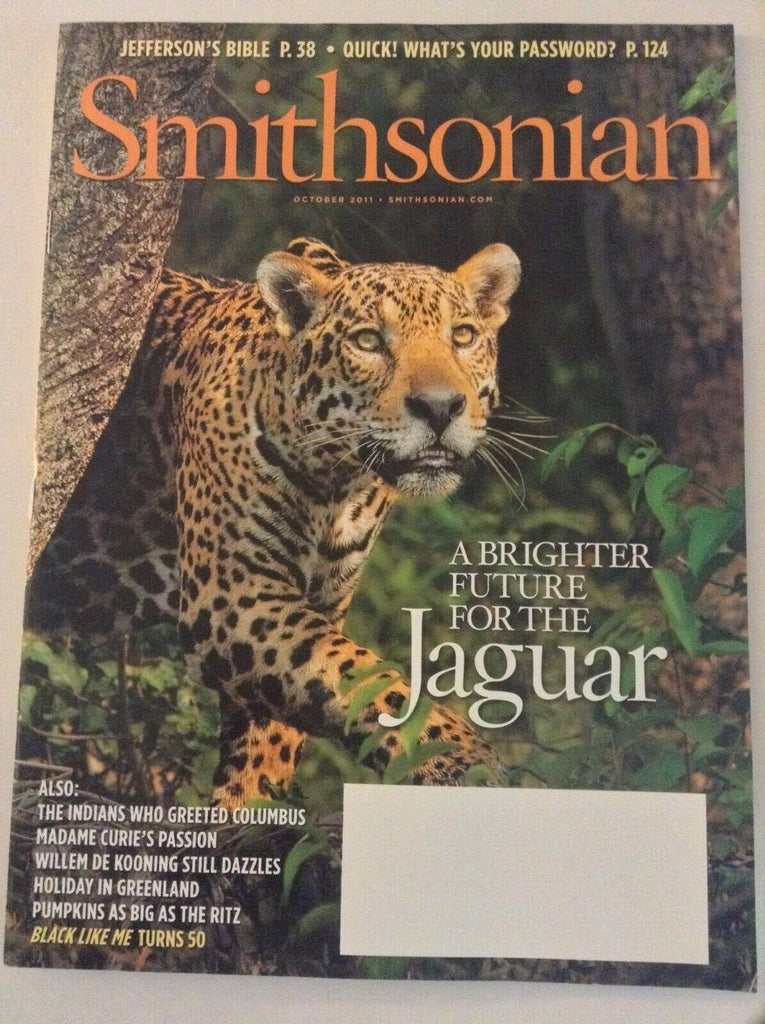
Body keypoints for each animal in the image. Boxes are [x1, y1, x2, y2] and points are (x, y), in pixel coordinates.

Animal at [26, 237, 522, 809]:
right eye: (369, 341)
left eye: (462, 336)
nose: (440, 408)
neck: (339, 483)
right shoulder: (233, 598)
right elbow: (368, 679)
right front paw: (464, 756)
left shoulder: (315, 606)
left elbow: (279, 737)